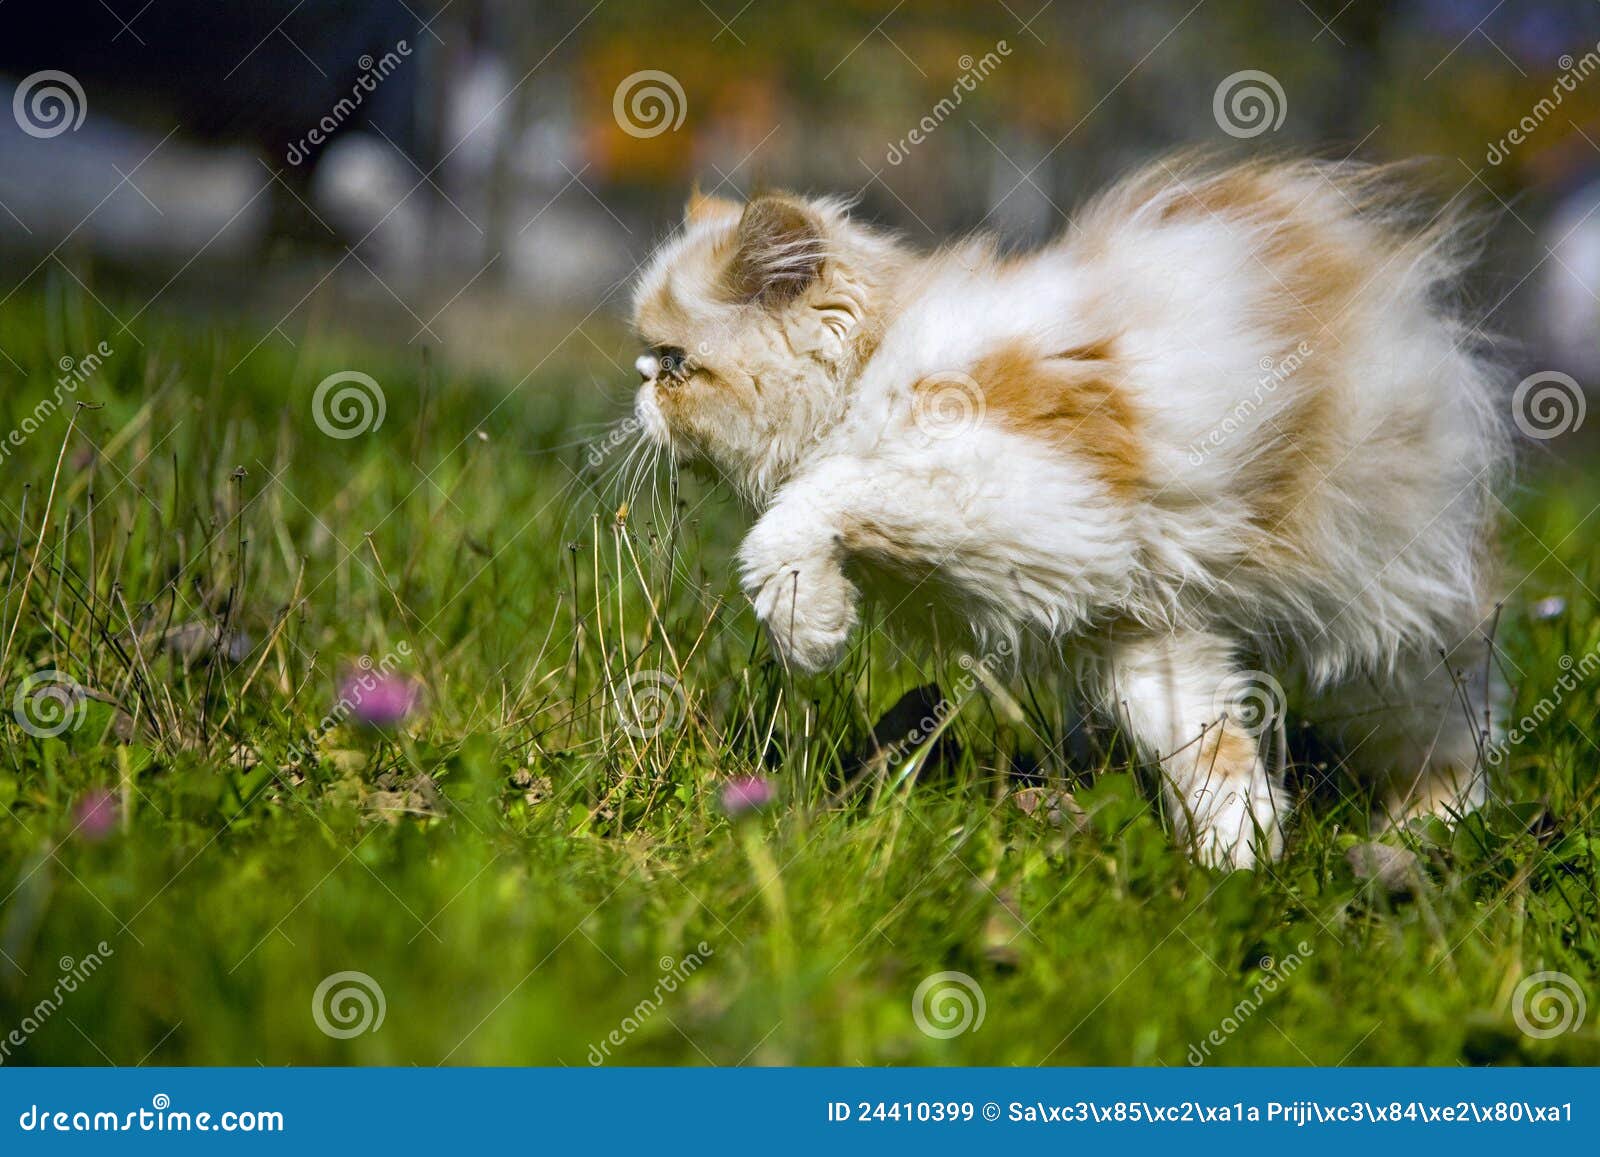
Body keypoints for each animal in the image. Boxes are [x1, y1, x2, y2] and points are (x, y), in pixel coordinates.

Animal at [627, 156, 1510, 870]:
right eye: (650, 362)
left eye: (674, 365)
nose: (636, 386)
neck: (878, 361)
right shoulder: (1136, 629)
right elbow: (1213, 752)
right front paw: (1237, 862)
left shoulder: (1022, 489)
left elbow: (812, 503)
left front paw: (808, 625)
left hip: (1380, 612)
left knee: (1461, 713)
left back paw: (1431, 827)